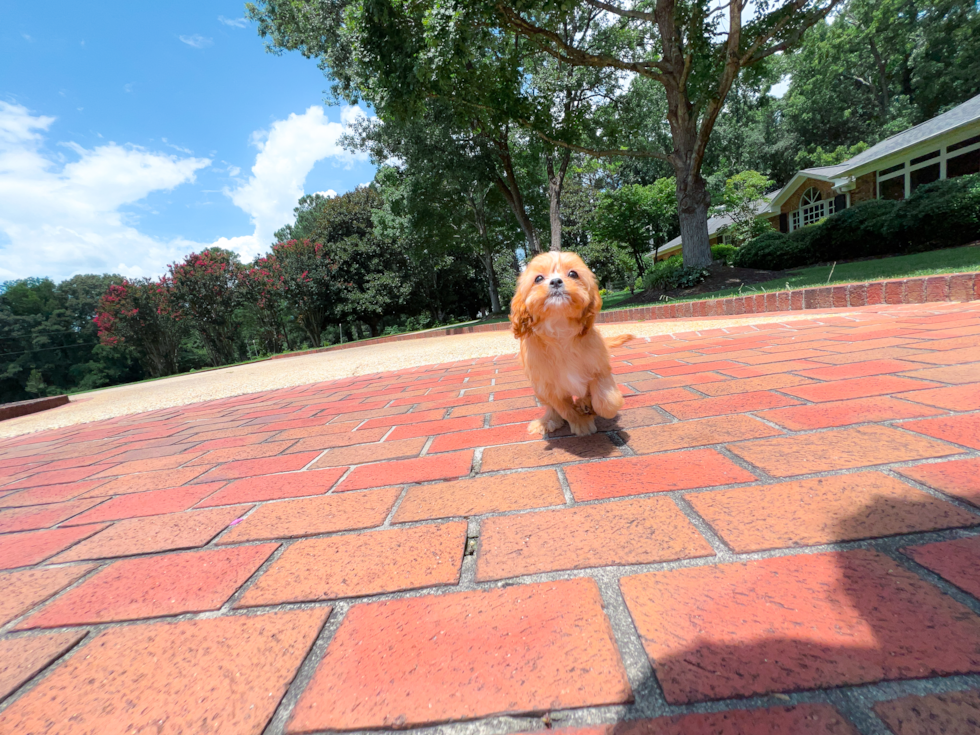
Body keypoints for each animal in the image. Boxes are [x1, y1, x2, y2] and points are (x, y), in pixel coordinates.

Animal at [510, 253, 632, 436]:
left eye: (573, 274)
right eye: (538, 278)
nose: (555, 281)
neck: (559, 328)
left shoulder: (599, 366)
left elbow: (607, 399)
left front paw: (593, 408)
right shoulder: (547, 386)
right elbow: (564, 409)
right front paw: (580, 422)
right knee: (552, 408)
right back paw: (548, 420)